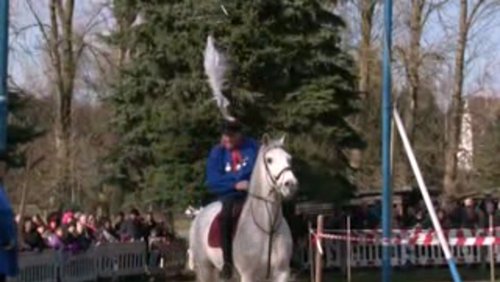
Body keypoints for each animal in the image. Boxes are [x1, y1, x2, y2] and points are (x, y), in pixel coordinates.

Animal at [188, 135, 296, 280]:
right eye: (269, 160)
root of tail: (199, 214)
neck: (268, 229)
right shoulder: (248, 275)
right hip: (205, 268)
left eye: (289, 158)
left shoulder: (281, 274)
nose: (290, 184)